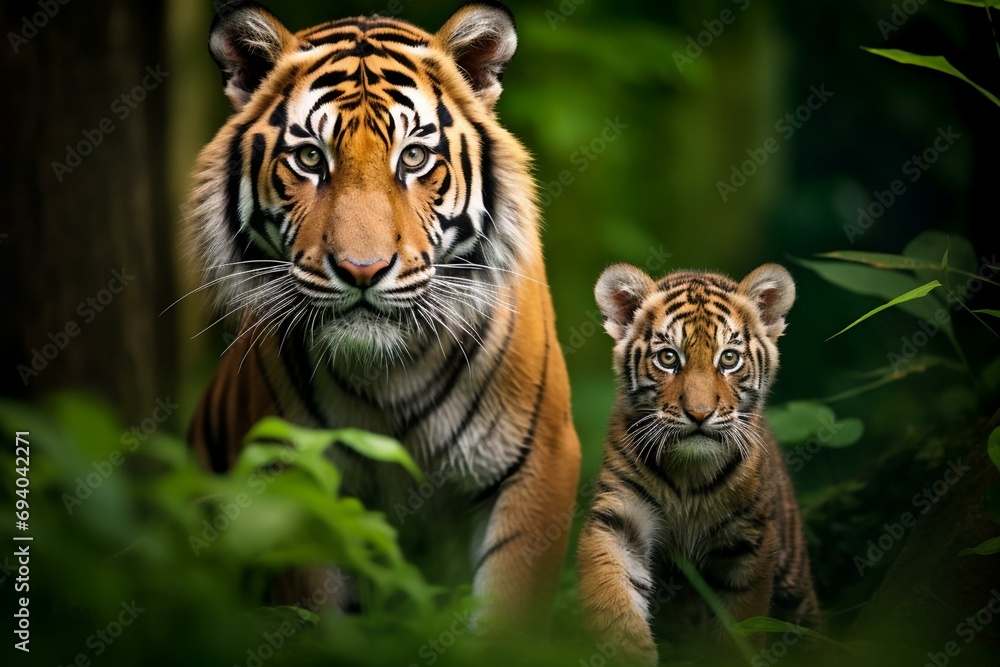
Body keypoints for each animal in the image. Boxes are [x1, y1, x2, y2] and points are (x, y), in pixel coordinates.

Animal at [185, 0, 580, 632]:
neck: (389, 373)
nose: (362, 269)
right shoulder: (295, 477)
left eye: (414, 157)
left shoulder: (538, 462)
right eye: (310, 157)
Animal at [576, 262, 819, 665]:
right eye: (669, 358)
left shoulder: (750, 542)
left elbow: (740, 628)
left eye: (729, 359)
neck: (688, 473)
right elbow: (615, 602)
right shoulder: (619, 521)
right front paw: (626, 653)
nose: (700, 414)